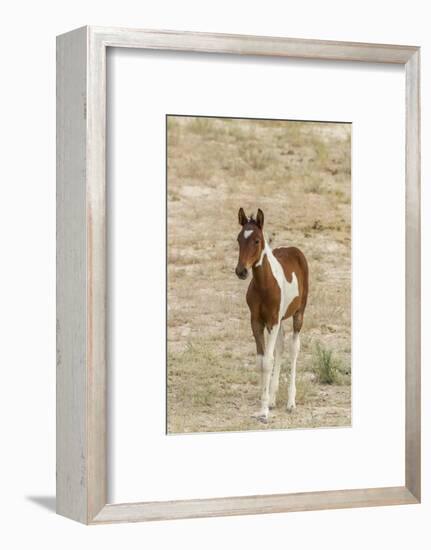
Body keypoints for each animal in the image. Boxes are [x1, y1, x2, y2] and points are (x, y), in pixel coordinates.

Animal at [235, 209, 308, 424]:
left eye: (257, 240)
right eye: (238, 239)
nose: (241, 271)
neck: (264, 285)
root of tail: (294, 249)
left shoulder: (273, 321)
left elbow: (267, 361)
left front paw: (264, 412)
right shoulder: (257, 322)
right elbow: (262, 361)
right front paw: (265, 403)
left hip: (298, 314)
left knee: (293, 348)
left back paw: (291, 402)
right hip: (279, 320)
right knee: (281, 347)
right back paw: (274, 398)